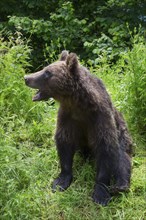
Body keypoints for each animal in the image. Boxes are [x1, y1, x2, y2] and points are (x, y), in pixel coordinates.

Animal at [24, 50, 132, 205]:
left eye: (47, 73)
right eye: (45, 68)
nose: (26, 78)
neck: (79, 104)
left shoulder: (99, 118)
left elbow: (105, 148)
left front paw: (101, 194)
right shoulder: (68, 116)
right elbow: (64, 142)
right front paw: (61, 181)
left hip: (123, 133)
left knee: (122, 158)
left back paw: (120, 186)